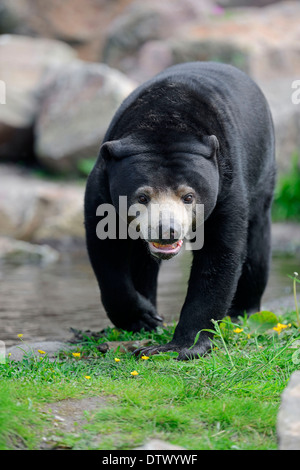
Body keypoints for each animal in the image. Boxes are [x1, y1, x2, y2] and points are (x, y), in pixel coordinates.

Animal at [83, 62, 276, 360]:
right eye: (142, 196)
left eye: (188, 196)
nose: (167, 230)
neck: (165, 119)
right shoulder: (102, 186)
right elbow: (106, 250)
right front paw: (143, 318)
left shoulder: (227, 186)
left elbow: (219, 256)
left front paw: (179, 345)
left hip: (263, 173)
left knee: (257, 243)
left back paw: (243, 311)